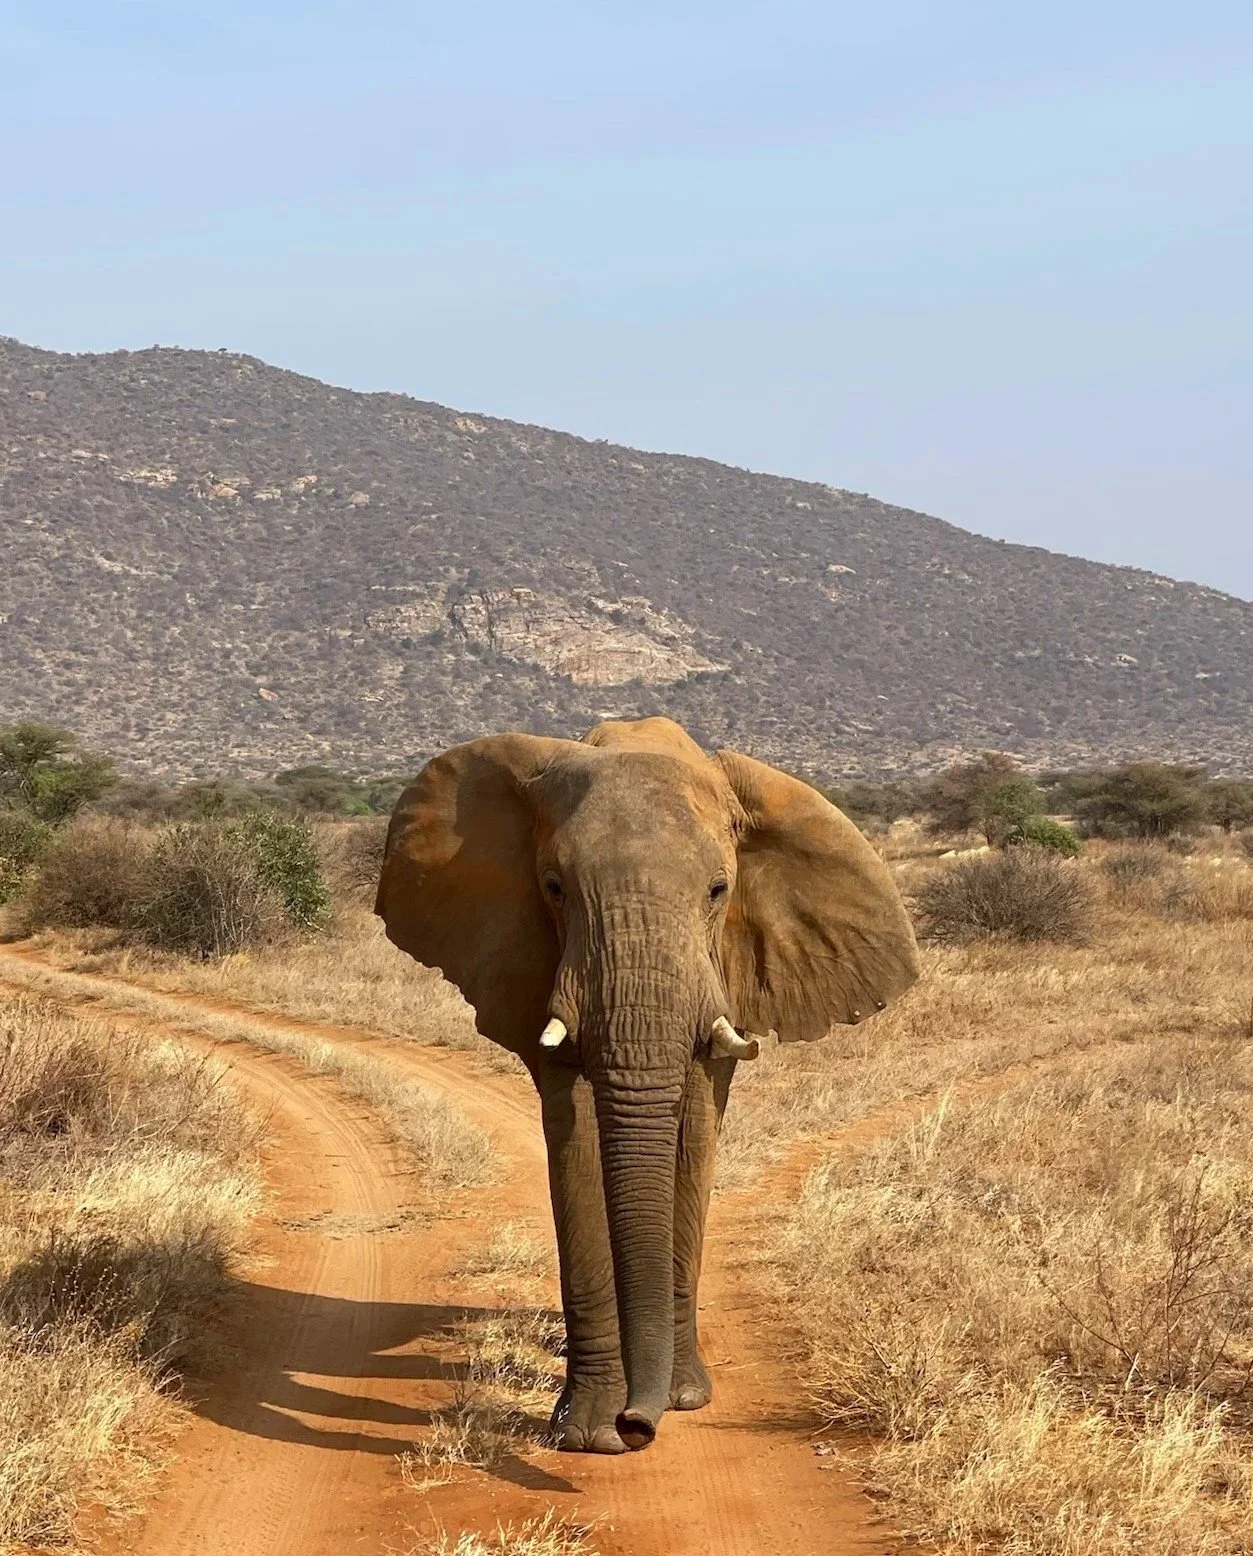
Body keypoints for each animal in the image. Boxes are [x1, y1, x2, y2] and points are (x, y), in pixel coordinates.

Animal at [374, 716, 918, 1453]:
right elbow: (573, 1132)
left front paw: (682, 1399)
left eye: (718, 891)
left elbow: (695, 1128)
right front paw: (586, 1434)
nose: (639, 1425)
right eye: (553, 888)